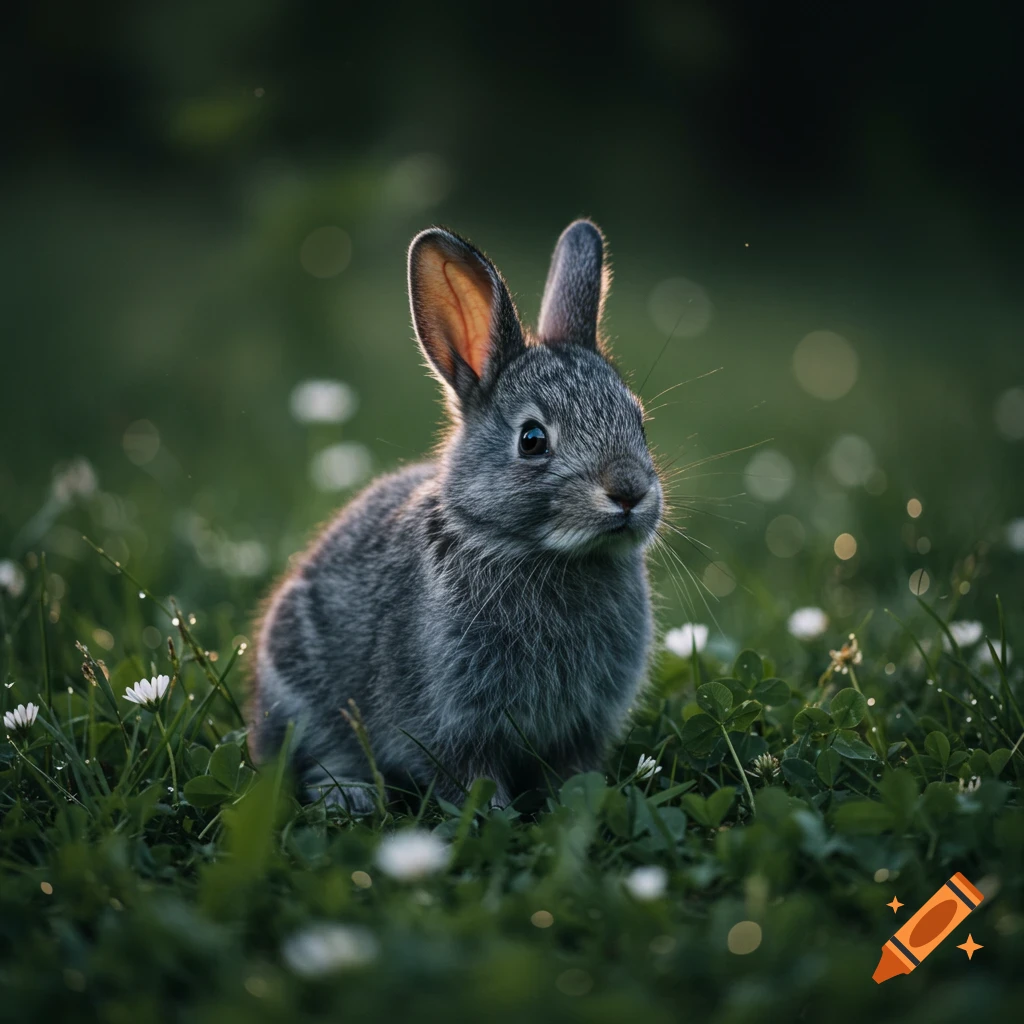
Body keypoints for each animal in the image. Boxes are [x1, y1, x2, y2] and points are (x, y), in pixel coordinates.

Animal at [249, 219, 663, 813]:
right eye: (532, 439)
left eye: (639, 421)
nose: (629, 492)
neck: (533, 550)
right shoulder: (450, 724)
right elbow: (470, 781)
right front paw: (494, 819)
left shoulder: (581, 727)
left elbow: (571, 775)